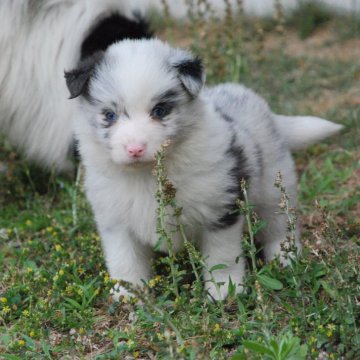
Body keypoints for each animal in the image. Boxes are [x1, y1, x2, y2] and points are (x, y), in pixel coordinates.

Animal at [65, 38, 344, 300]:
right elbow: (125, 261)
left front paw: (225, 291)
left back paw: (286, 257)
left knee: (281, 225)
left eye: (160, 111)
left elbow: (222, 255)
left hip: (275, 188)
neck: (146, 176)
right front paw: (129, 296)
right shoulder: (115, 221)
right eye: (109, 115)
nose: (135, 149)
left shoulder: (220, 211)